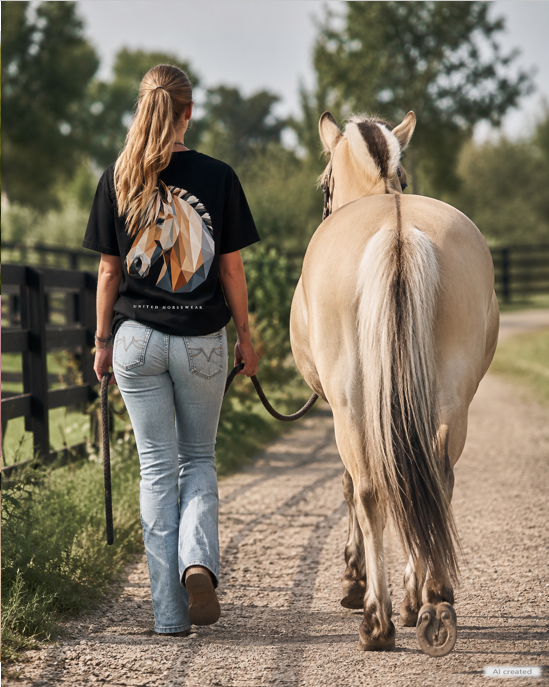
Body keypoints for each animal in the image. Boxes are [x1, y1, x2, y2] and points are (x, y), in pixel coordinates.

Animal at [290, 111, 499, 656]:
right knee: (435, 477)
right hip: (450, 398)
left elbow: (350, 486)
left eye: (325, 185)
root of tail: (399, 232)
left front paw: (353, 581)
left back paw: (378, 620)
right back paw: (431, 600)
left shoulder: (342, 406)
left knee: (367, 488)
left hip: (350, 401)